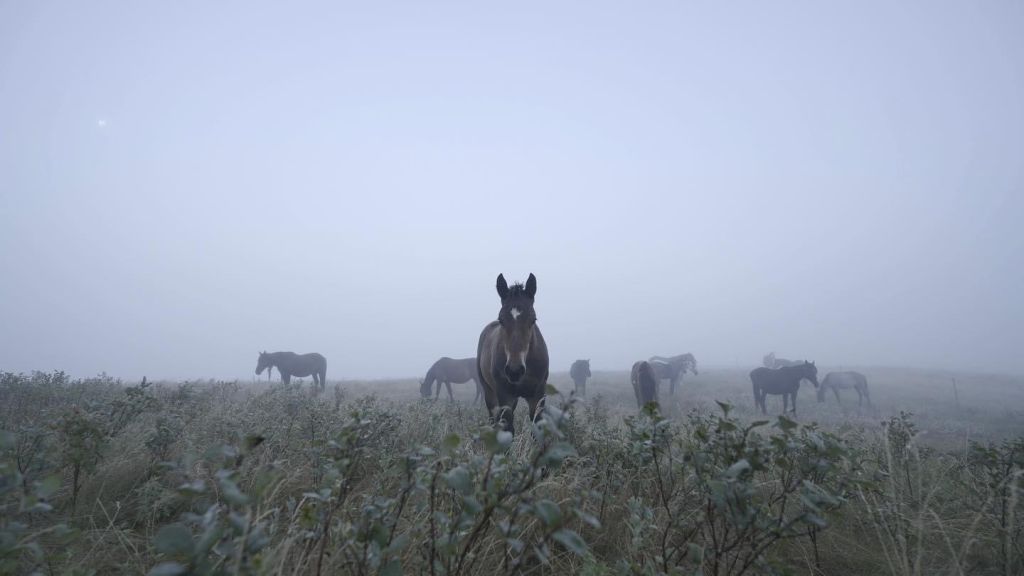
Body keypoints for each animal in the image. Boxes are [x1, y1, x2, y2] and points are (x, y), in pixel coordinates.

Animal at [475, 272, 548, 430]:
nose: (515, 370)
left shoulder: (537, 397)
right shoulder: (505, 396)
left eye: (533, 319)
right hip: (490, 394)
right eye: (501, 320)